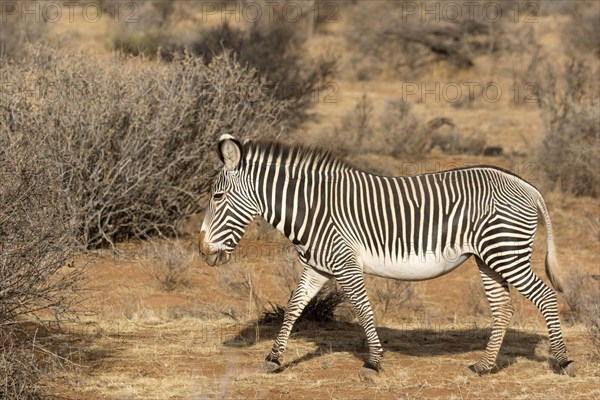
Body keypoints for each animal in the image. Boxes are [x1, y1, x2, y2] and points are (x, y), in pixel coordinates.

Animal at [198, 134, 576, 378]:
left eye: (217, 197)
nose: (202, 251)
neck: (313, 210)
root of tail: (525, 184)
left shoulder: (345, 263)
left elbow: (364, 310)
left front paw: (373, 362)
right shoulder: (317, 266)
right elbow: (293, 307)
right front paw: (274, 359)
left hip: (506, 252)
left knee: (545, 297)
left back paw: (562, 362)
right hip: (489, 258)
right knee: (503, 309)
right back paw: (484, 366)